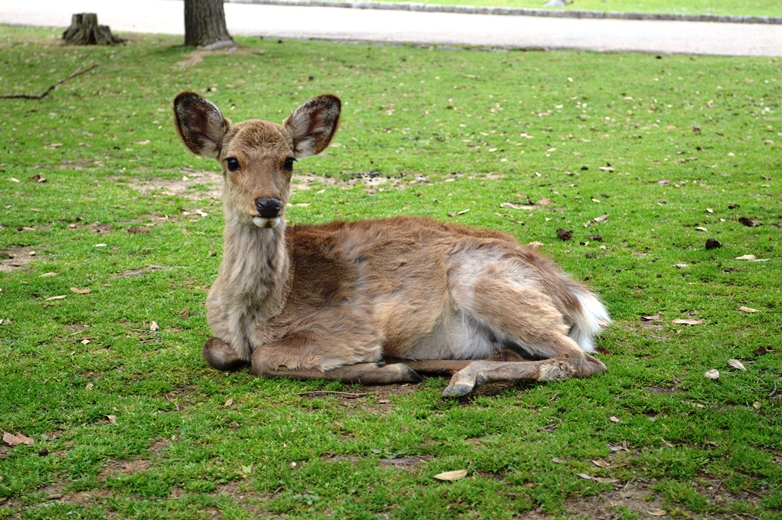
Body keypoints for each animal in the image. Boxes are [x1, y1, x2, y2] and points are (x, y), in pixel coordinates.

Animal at [173, 90, 612, 398]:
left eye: (288, 161)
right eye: (231, 160)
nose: (268, 203)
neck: (253, 312)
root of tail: (578, 300)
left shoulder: (351, 328)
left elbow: (264, 357)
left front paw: (380, 368)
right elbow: (214, 349)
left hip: (484, 283)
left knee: (582, 360)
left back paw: (456, 378)